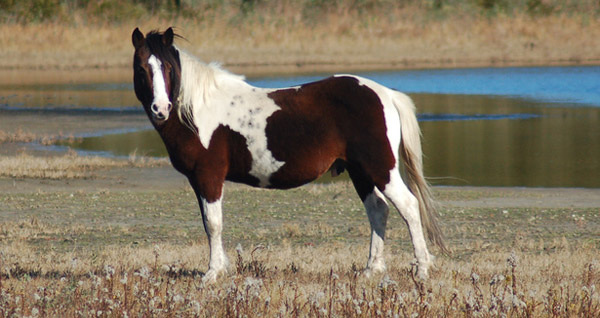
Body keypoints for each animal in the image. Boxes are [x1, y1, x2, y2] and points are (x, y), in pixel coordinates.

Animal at [131, 26, 442, 280]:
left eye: (167, 68)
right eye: (142, 69)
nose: (161, 108)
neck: (198, 111)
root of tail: (386, 94)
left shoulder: (209, 177)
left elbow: (214, 224)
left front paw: (213, 273)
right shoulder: (198, 181)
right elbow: (208, 224)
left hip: (380, 169)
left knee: (409, 207)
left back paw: (422, 270)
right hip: (360, 171)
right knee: (378, 209)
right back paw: (371, 270)